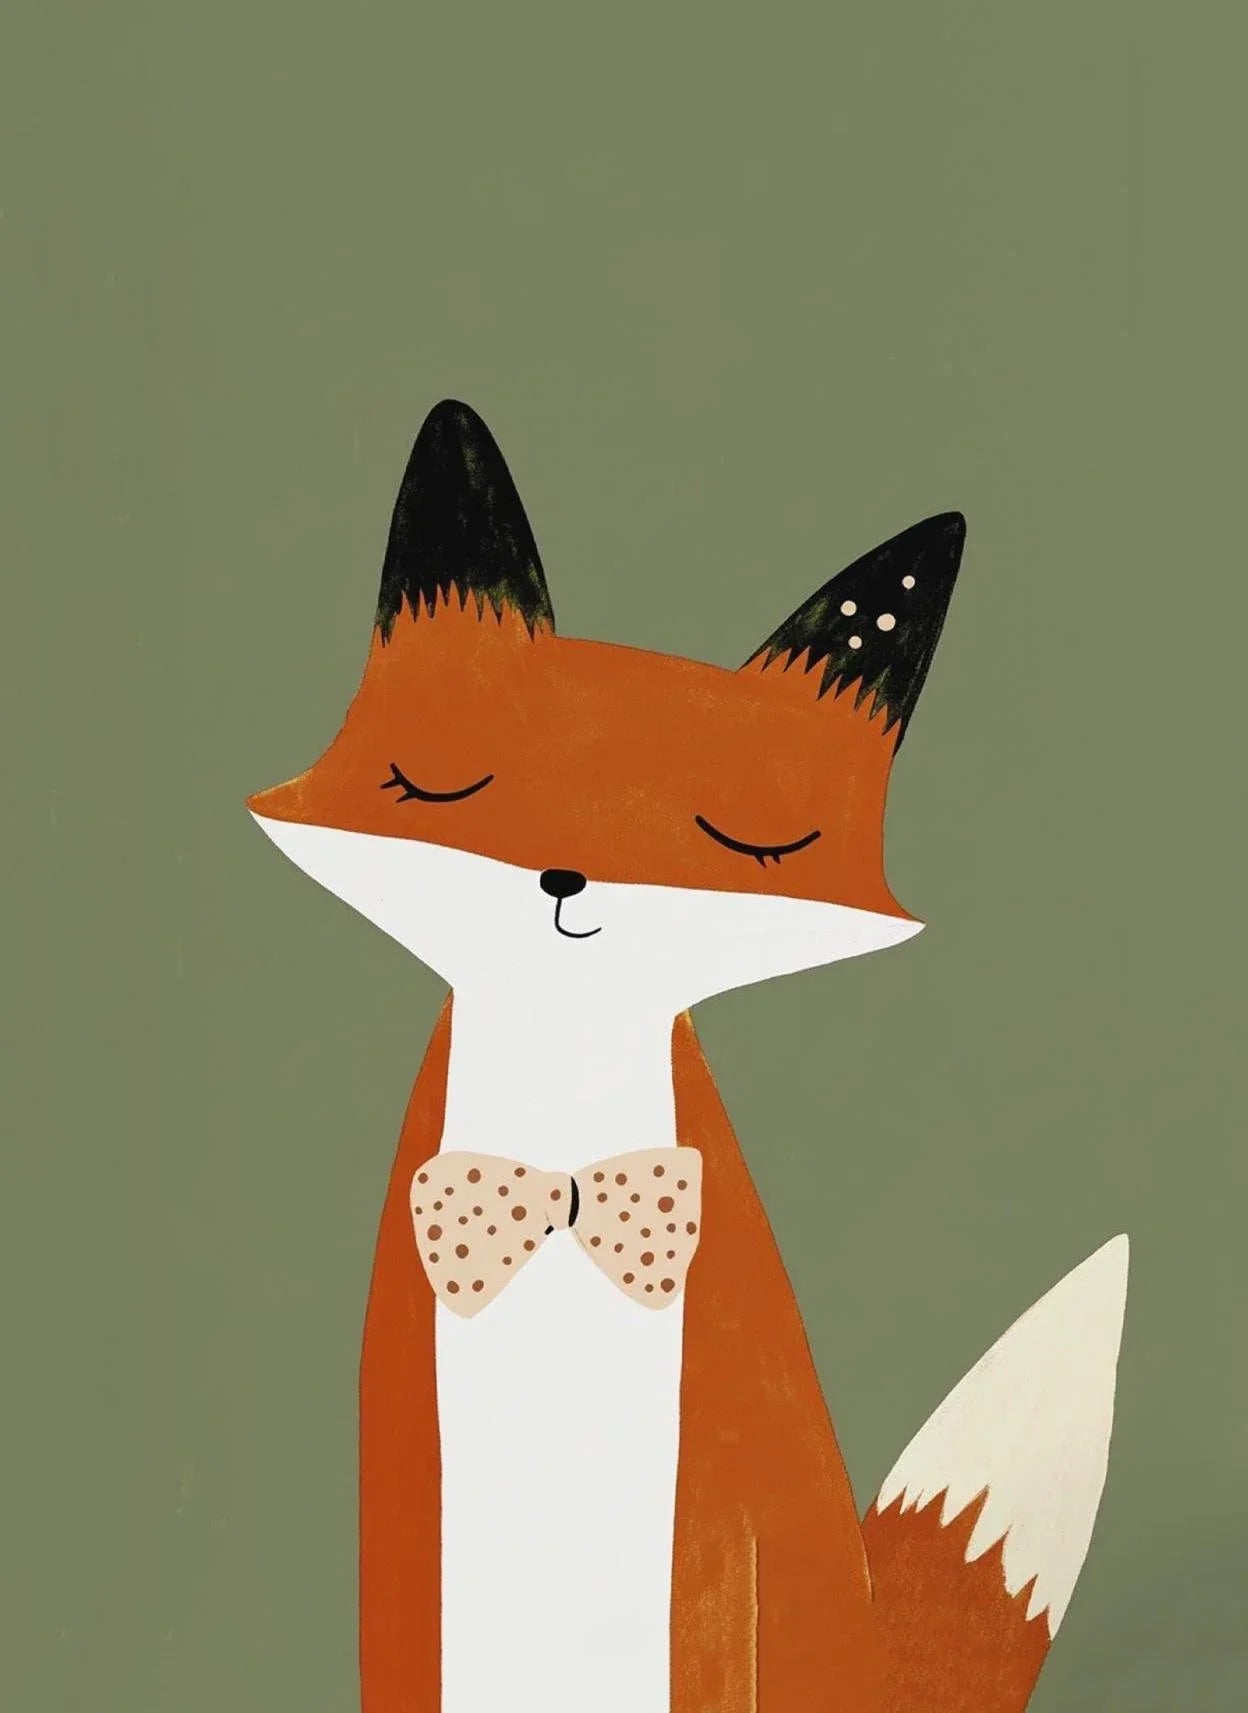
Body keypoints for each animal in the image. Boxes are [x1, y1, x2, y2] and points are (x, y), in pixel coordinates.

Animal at [247, 399, 1128, 1713]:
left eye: (751, 838)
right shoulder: (404, 1487)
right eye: (444, 783)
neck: (562, 1180)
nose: (568, 875)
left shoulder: (721, 1507)